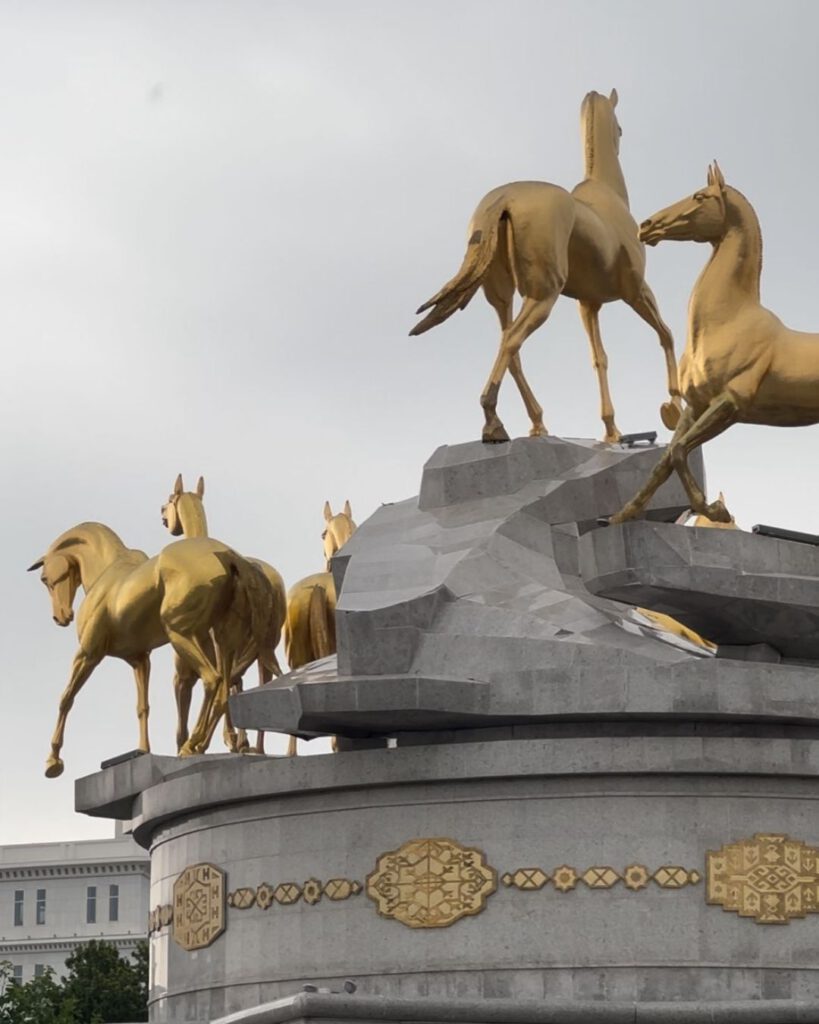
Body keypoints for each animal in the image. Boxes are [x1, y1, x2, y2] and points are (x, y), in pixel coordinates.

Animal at [409, 87, 679, 440]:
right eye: (620, 129)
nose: (620, 137)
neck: (610, 198)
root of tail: (503, 199)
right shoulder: (636, 291)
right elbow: (666, 334)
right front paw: (673, 408)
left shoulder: (588, 304)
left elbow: (599, 358)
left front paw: (611, 430)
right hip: (543, 294)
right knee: (512, 341)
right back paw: (493, 420)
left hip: (502, 296)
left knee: (509, 347)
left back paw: (533, 424)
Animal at [610, 163, 818, 524]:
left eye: (700, 196)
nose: (646, 226)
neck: (724, 322)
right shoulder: (696, 406)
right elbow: (665, 460)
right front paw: (622, 515)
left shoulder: (731, 403)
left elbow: (680, 451)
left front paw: (715, 510)